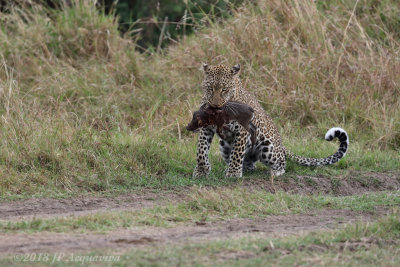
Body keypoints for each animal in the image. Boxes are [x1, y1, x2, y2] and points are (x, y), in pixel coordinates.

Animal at [192, 63, 348, 180]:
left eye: (224, 89)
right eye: (210, 88)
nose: (215, 105)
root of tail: (281, 145)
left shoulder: (242, 129)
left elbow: (236, 154)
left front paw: (233, 173)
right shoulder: (206, 127)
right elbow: (201, 150)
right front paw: (201, 171)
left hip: (269, 148)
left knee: (282, 163)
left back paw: (274, 172)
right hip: (224, 146)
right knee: (249, 164)